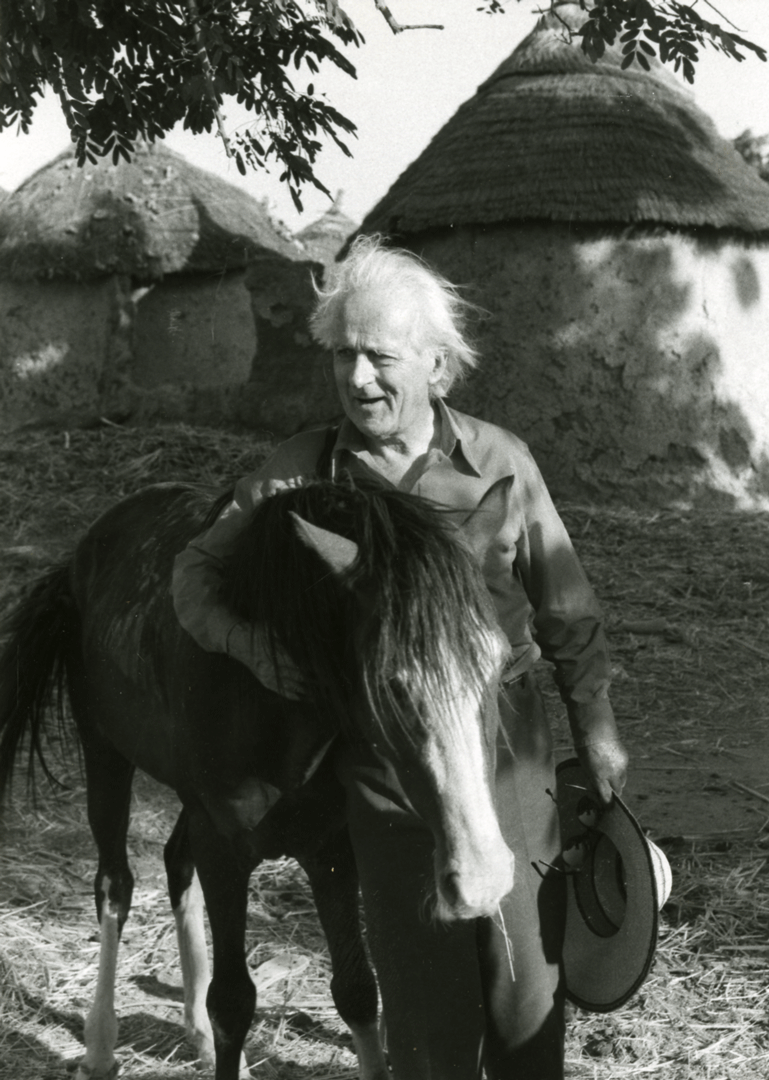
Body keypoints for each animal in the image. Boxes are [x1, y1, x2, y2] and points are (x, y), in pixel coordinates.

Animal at [1, 477, 516, 1080]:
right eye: (388, 682)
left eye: (499, 663)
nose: (483, 878)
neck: (272, 709)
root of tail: (85, 551)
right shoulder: (226, 851)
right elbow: (233, 1002)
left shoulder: (328, 850)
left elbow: (357, 989)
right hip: (105, 753)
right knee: (115, 884)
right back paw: (101, 1043)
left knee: (176, 862)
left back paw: (194, 1033)